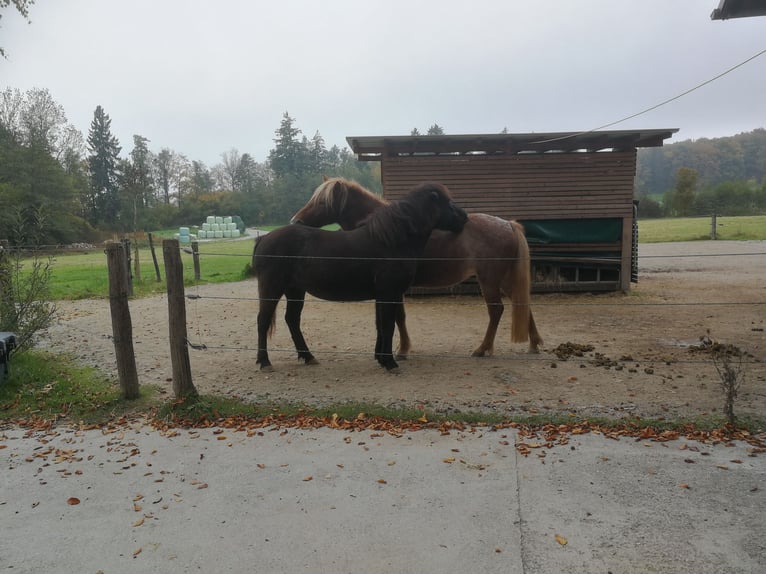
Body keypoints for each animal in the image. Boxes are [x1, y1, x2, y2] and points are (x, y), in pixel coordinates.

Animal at [252, 182, 468, 372]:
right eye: (448, 203)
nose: (464, 217)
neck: (390, 240)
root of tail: (264, 238)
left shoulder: (383, 295)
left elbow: (381, 325)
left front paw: (381, 358)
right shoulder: (389, 293)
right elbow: (388, 325)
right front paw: (390, 363)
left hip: (295, 291)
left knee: (292, 320)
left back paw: (308, 356)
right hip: (272, 287)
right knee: (263, 320)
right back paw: (265, 362)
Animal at [291, 176, 543, 357]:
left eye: (321, 201)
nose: (295, 221)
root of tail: (507, 224)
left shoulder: (393, 287)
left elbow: (398, 317)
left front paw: (402, 350)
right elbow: (399, 316)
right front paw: (403, 348)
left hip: (489, 281)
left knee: (496, 310)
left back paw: (483, 349)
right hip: (504, 279)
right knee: (522, 303)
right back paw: (533, 343)